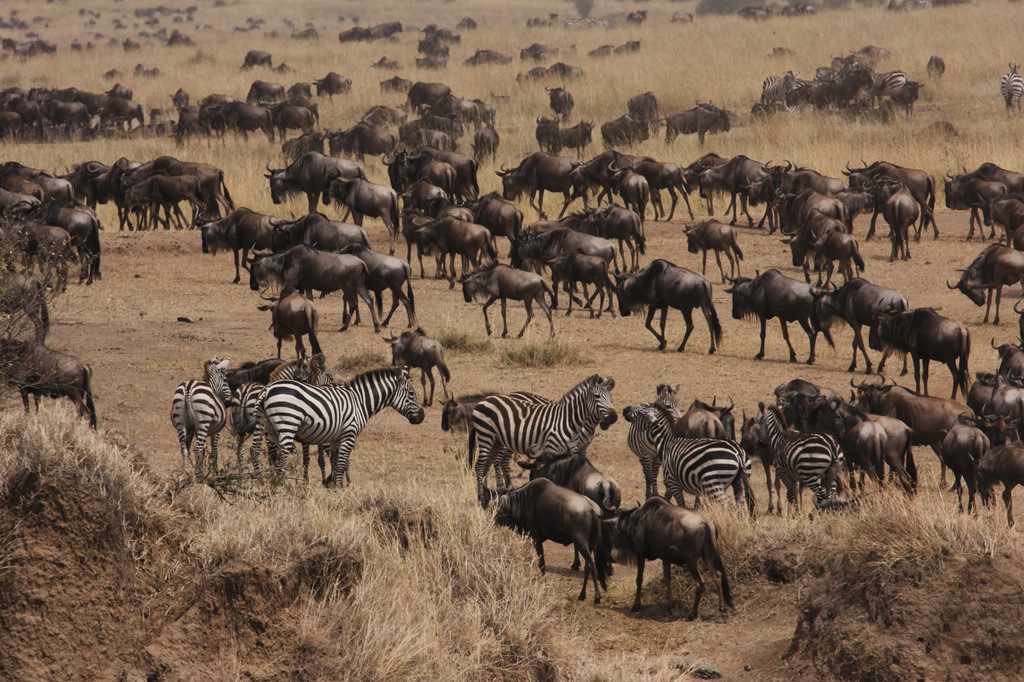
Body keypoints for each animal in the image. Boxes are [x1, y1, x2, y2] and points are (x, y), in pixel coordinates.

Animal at [253, 366, 425, 483]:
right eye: (411, 394)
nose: (422, 416)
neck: (359, 402)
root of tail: (267, 389)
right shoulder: (349, 435)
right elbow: (342, 463)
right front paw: (341, 490)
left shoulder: (336, 438)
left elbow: (336, 463)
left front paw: (335, 486)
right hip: (287, 423)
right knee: (282, 455)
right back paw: (283, 485)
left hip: (267, 426)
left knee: (265, 453)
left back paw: (269, 482)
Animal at [468, 372, 610, 503]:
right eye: (597, 396)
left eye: (610, 398)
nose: (612, 416)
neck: (569, 420)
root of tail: (484, 400)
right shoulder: (557, 449)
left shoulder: (575, 449)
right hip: (488, 435)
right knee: (483, 465)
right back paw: (482, 496)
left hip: (497, 440)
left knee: (489, 463)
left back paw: (490, 492)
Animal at [614, 403, 753, 509]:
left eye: (641, 412)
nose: (625, 409)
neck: (666, 443)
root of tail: (738, 454)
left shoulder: (673, 481)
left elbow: (680, 503)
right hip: (737, 482)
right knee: (741, 507)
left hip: (715, 484)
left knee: (729, 506)